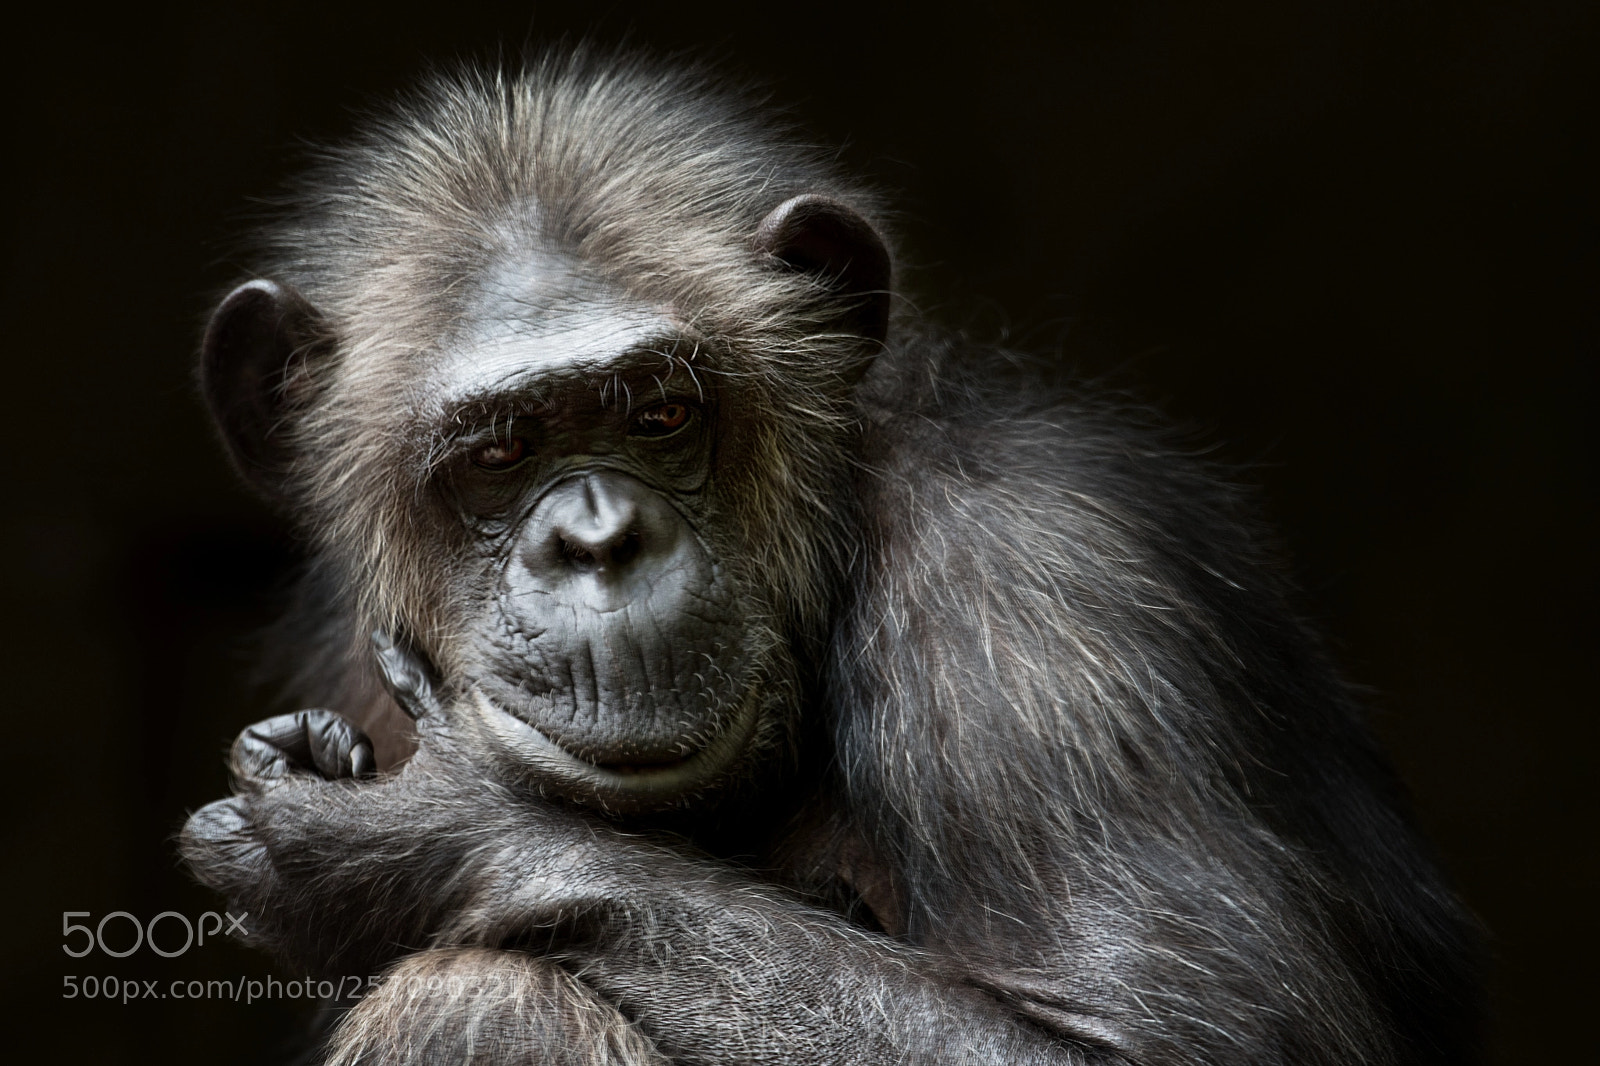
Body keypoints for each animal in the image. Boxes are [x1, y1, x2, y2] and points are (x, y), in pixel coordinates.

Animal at [180, 50, 1482, 1065]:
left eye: (661, 411)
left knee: (477, 1000)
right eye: (498, 452)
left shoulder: (1035, 594)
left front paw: (423, 831)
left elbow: (1164, 1040)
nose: (598, 539)